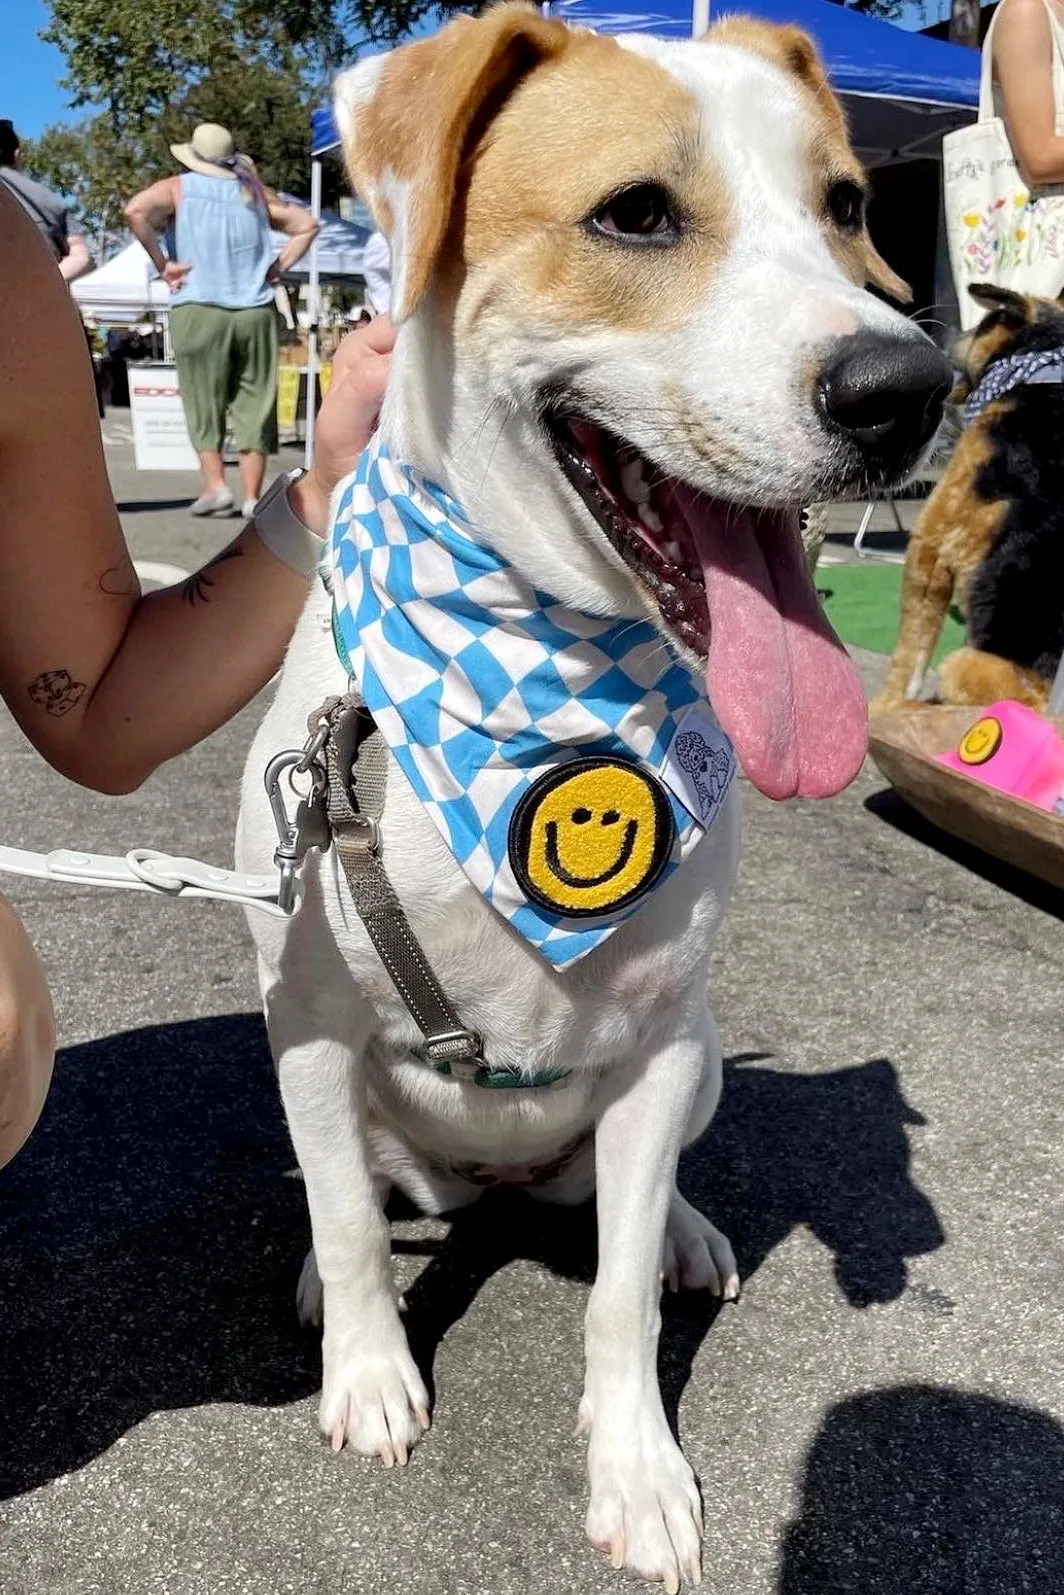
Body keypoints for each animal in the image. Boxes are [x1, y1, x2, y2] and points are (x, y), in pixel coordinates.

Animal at [239, 9, 950, 1582]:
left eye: (847, 206)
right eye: (635, 214)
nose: (907, 391)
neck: (540, 660)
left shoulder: (651, 1043)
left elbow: (616, 1299)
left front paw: (638, 1472)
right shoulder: (304, 1020)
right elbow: (348, 1220)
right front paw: (369, 1370)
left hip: (697, 1059)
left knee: (650, 1187)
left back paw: (685, 1230)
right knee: (355, 1188)